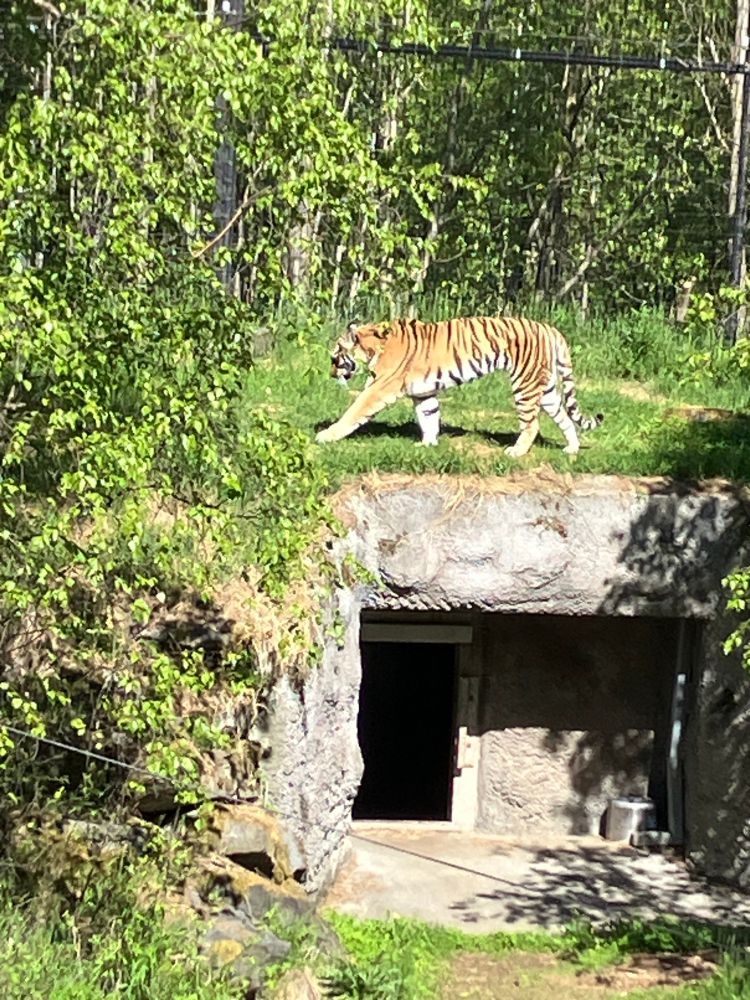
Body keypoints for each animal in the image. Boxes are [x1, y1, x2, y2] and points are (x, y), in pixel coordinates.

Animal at [315, 316, 602, 457]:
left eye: (335, 356)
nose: (330, 374)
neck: (375, 345)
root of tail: (549, 328)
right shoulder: (424, 392)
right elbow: (429, 417)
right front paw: (428, 445)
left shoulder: (379, 388)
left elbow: (354, 411)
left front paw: (326, 435)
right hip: (546, 388)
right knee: (565, 417)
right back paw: (571, 449)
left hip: (526, 383)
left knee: (532, 425)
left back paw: (516, 451)